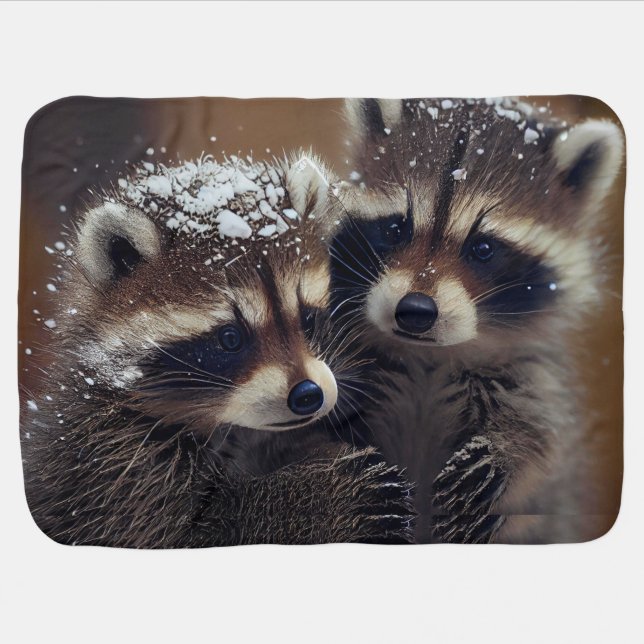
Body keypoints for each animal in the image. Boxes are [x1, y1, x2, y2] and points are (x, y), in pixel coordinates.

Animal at [20, 152, 414, 547]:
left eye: (307, 319)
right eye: (230, 338)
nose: (308, 396)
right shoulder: (110, 462)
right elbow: (187, 535)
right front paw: (317, 493)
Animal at [331, 97, 624, 542]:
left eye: (483, 248)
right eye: (396, 228)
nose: (415, 311)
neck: (428, 358)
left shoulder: (532, 375)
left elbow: (542, 440)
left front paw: (507, 451)